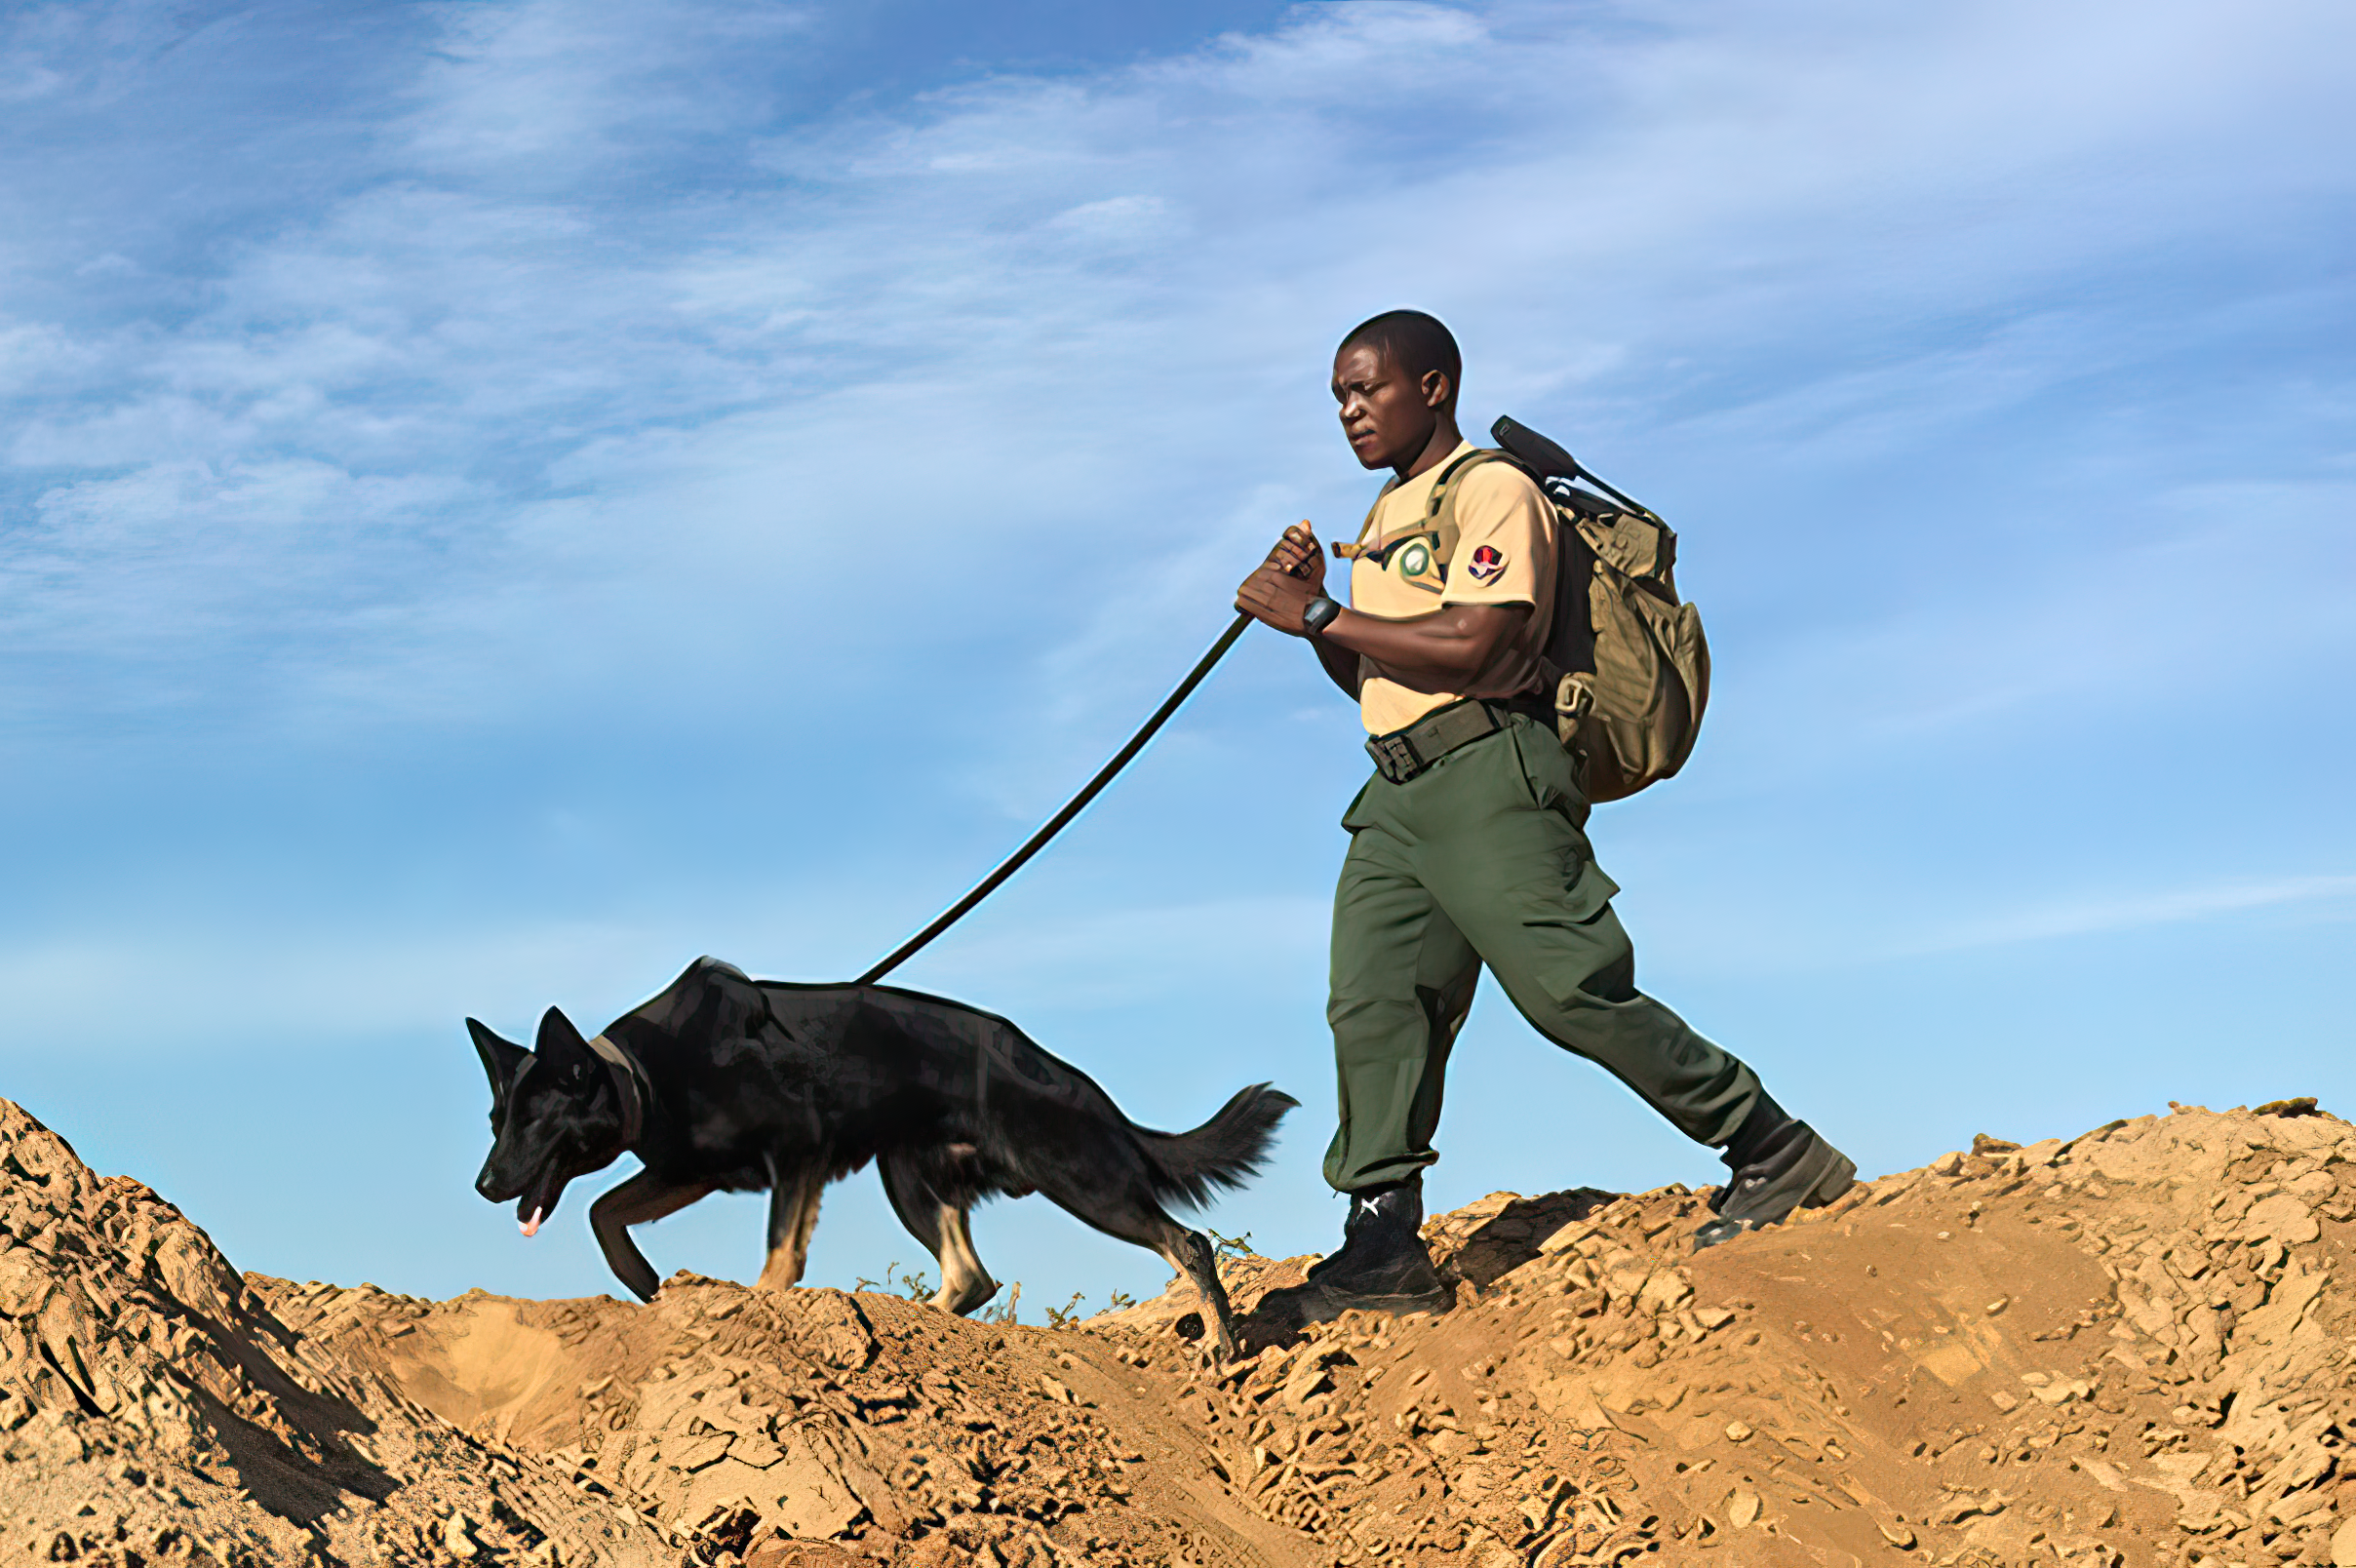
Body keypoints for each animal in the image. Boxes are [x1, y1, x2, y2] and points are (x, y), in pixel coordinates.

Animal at [466, 951, 1300, 1355]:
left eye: (533, 1123)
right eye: (496, 1119)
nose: (483, 1186)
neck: (647, 1072)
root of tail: (1079, 1085)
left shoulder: (794, 1158)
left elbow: (779, 1257)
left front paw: (759, 1307)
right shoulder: (693, 1170)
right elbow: (604, 1212)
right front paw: (645, 1282)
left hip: (1079, 1177)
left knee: (1187, 1242)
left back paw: (1221, 1343)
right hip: (911, 1180)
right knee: (971, 1276)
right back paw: (921, 1320)